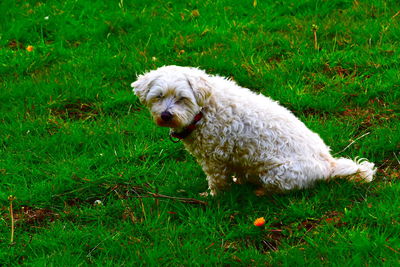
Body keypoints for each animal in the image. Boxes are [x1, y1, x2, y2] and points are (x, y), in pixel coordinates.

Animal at [130, 65, 376, 196]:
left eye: (182, 98)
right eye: (158, 97)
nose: (166, 115)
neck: (204, 110)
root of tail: (329, 164)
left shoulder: (214, 158)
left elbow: (216, 181)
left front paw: (212, 196)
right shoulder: (236, 156)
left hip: (278, 174)